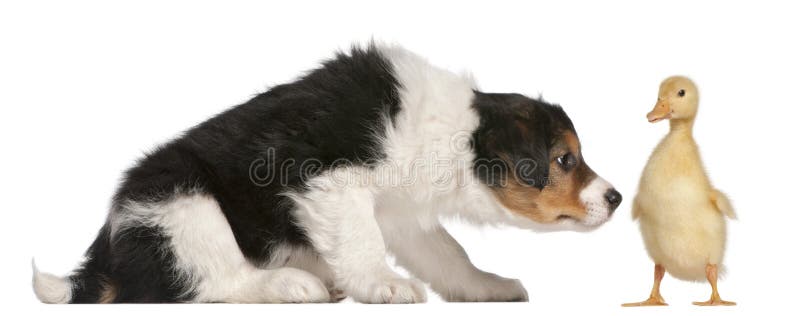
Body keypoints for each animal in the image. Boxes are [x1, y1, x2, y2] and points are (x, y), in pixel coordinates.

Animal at [32, 44, 620, 304]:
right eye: (565, 160)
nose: (615, 198)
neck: (455, 133)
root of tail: (104, 254)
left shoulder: (405, 213)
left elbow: (449, 254)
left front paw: (487, 286)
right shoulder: (324, 177)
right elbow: (362, 240)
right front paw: (384, 284)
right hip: (182, 204)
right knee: (217, 280)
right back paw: (294, 283)